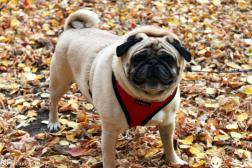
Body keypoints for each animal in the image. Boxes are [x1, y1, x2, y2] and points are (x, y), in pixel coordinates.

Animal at [48, 8, 191, 167]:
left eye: (168, 59)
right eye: (139, 58)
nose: (153, 62)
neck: (146, 97)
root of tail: (72, 30)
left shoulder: (167, 123)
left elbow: (169, 144)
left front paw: (174, 161)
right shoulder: (109, 133)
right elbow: (109, 158)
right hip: (60, 82)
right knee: (53, 102)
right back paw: (53, 122)